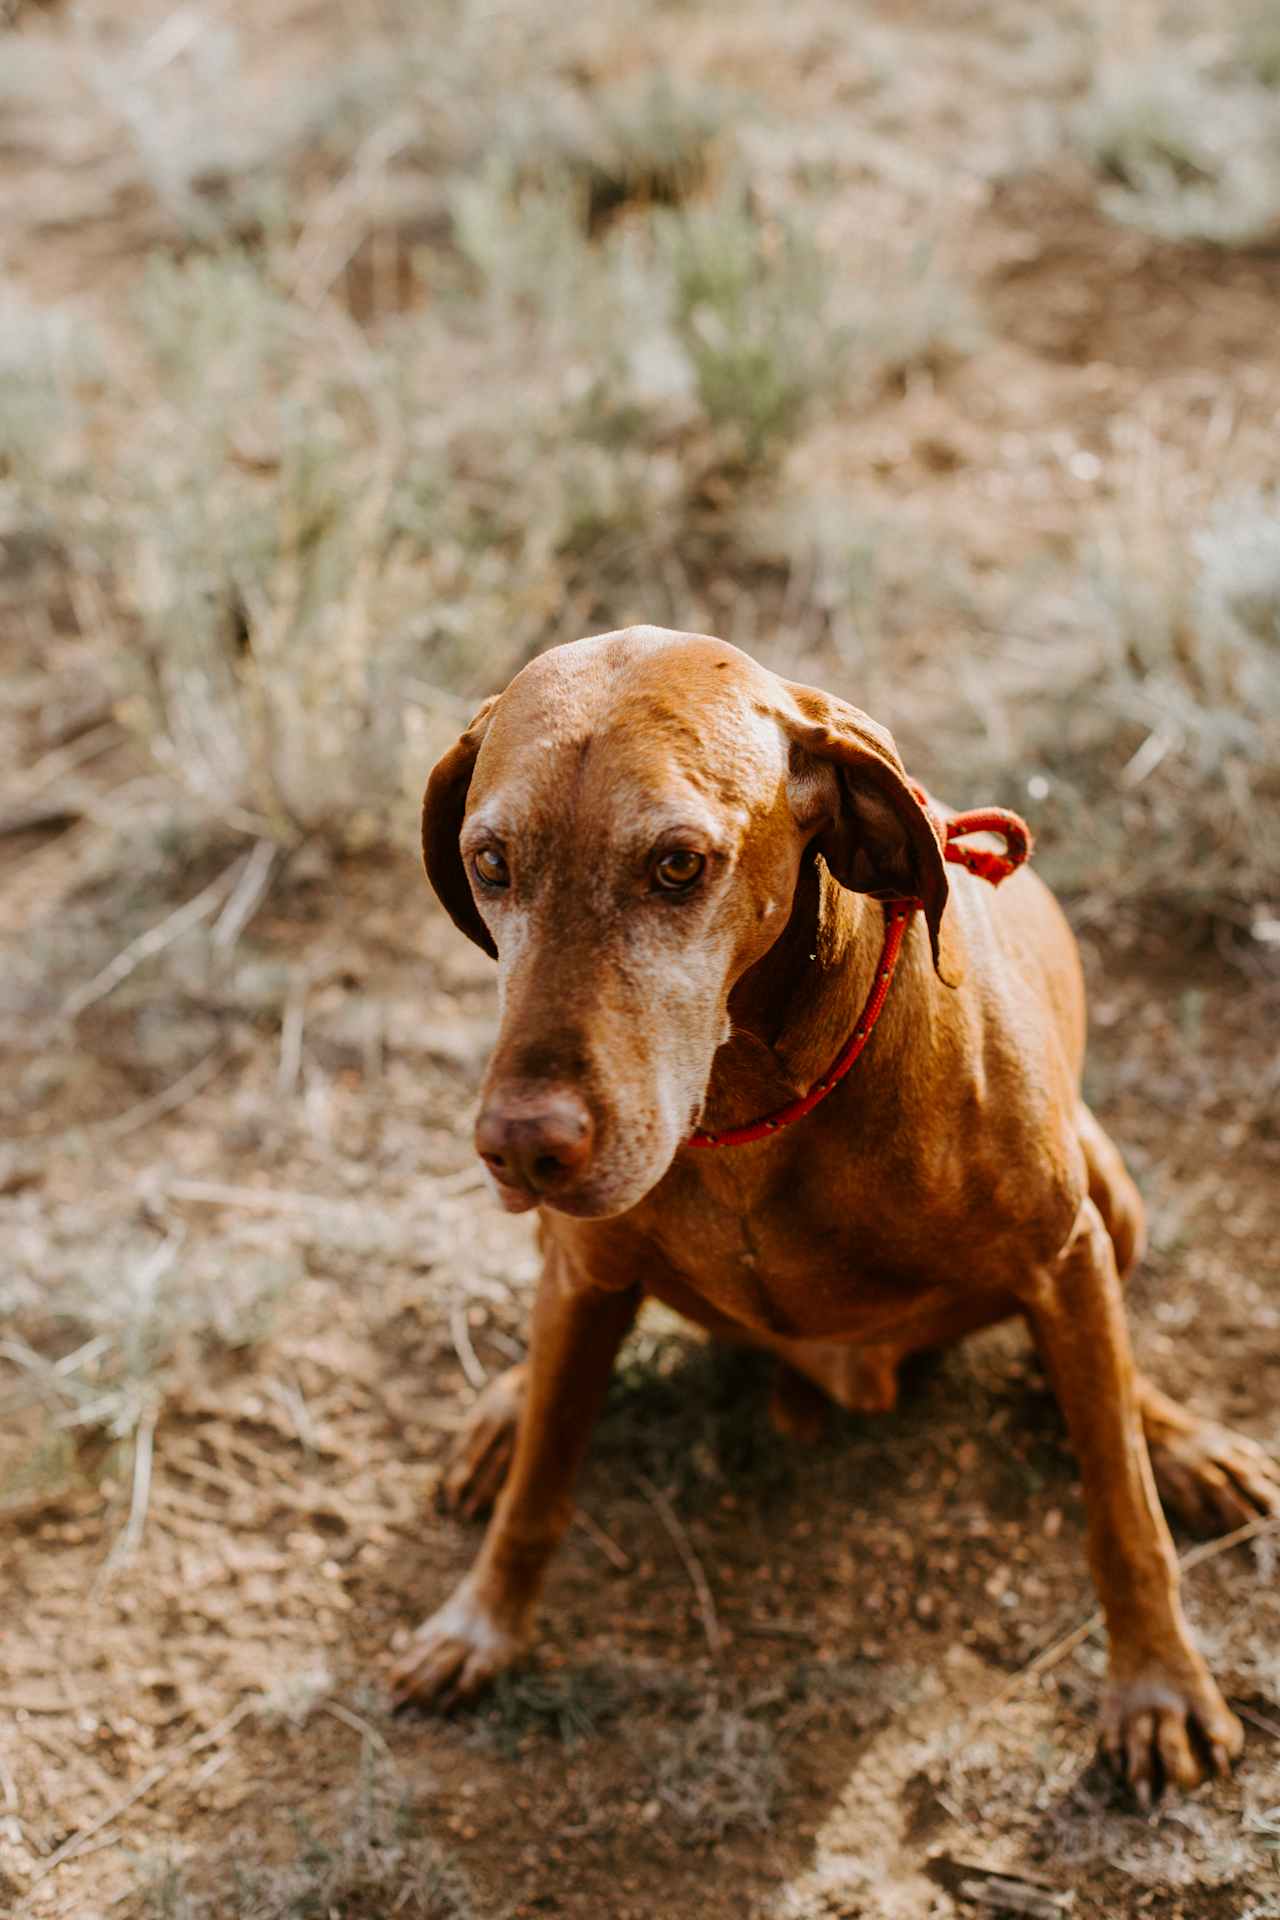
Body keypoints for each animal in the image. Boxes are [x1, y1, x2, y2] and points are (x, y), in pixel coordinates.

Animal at [395, 625, 1274, 1797]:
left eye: (677, 865)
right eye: (491, 863)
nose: (523, 1146)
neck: (749, 1101)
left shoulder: (1062, 1254)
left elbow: (1121, 1519)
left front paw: (1158, 1687)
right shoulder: (587, 1271)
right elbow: (539, 1488)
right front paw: (481, 1623)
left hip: (1109, 1191)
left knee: (1117, 1392)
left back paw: (1179, 1441)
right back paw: (508, 1402)